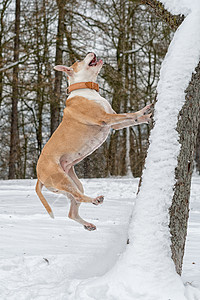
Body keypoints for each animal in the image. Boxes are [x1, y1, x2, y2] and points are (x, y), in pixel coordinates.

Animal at [35, 51, 152, 231]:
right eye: (79, 60)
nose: (92, 52)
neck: (86, 88)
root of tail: (38, 175)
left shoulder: (115, 124)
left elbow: (131, 120)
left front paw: (145, 116)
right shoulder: (105, 118)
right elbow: (129, 114)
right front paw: (143, 111)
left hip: (72, 181)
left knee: (73, 209)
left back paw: (88, 224)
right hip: (63, 179)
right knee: (79, 197)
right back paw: (95, 200)